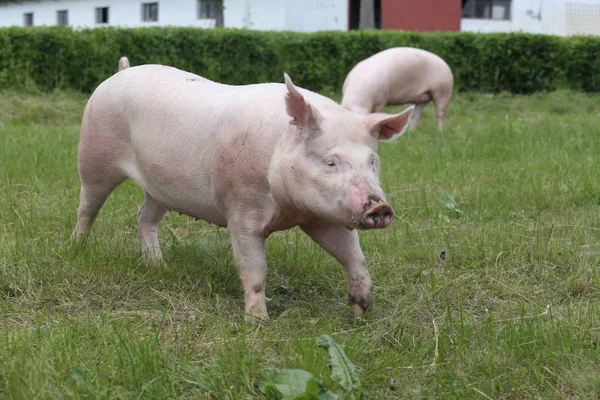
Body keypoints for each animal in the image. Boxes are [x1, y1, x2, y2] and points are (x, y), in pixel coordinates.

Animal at [72, 59, 414, 320]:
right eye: (330, 161)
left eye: (372, 161)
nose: (380, 207)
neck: (288, 209)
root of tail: (122, 71)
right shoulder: (241, 208)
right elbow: (254, 269)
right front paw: (258, 321)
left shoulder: (321, 216)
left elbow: (354, 256)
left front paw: (361, 311)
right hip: (93, 155)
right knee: (87, 206)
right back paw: (78, 247)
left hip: (159, 186)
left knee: (144, 216)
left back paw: (158, 265)